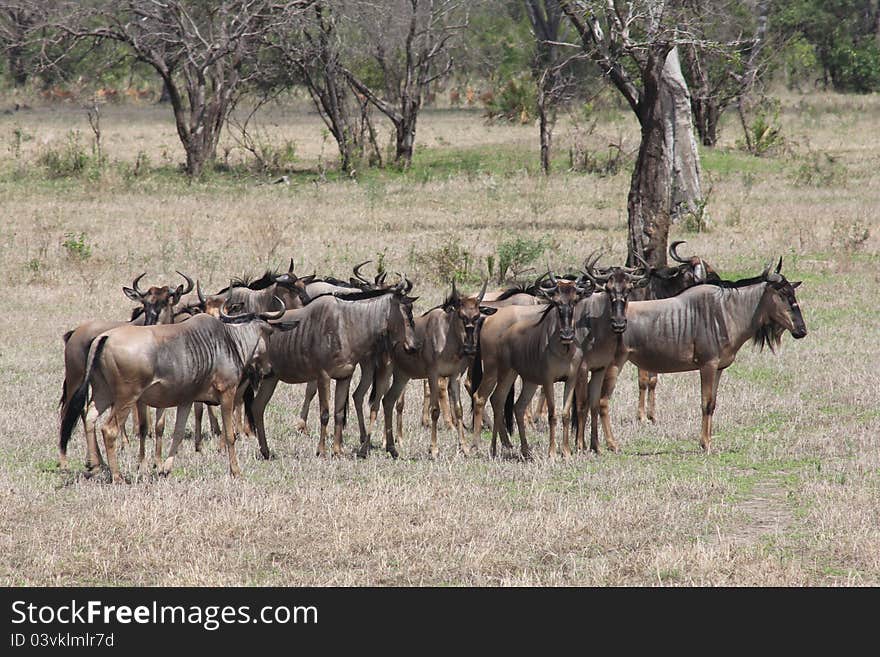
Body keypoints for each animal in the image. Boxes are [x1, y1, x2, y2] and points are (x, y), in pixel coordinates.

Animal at [59, 272, 194, 472]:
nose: (151, 321)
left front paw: (158, 462)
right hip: (75, 380)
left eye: (165, 301)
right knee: (68, 412)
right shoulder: (139, 398)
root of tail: (75, 333)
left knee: (85, 412)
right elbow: (143, 426)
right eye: (145, 303)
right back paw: (65, 462)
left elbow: (159, 426)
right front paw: (142, 464)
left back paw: (96, 462)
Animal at [62, 300, 298, 480]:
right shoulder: (227, 394)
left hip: (103, 394)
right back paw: (117, 476)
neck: (230, 341)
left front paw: (165, 469)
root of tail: (105, 337)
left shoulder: (187, 400)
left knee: (90, 417)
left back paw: (95, 465)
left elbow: (177, 433)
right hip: (126, 398)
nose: (269, 370)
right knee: (109, 429)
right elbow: (230, 435)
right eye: (269, 334)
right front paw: (236, 471)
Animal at [584, 258, 804, 454]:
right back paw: (612, 445)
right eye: (782, 293)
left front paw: (708, 441)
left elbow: (713, 404)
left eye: (793, 293)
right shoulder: (707, 365)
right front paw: (704, 443)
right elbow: (705, 403)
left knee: (592, 400)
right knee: (603, 401)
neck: (726, 312)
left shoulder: (719, 368)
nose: (801, 331)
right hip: (614, 365)